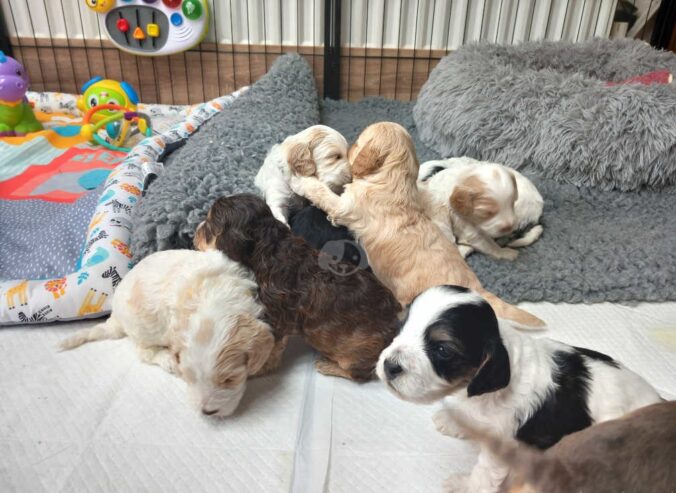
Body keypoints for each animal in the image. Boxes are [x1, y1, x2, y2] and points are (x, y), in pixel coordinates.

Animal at [59, 250, 278, 416]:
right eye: (188, 377)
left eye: (230, 379)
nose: (207, 412)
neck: (213, 297)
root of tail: (115, 318)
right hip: (140, 331)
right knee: (144, 352)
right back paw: (166, 359)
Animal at [193, 192, 402, 380]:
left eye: (209, 226)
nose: (195, 231)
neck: (269, 246)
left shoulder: (277, 316)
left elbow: (273, 346)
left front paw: (260, 369)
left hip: (357, 352)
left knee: (359, 374)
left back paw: (328, 366)